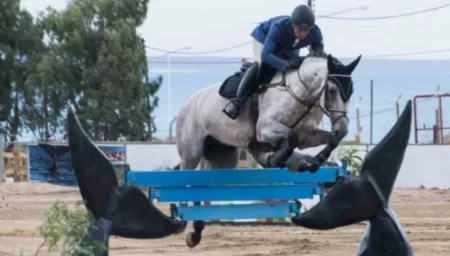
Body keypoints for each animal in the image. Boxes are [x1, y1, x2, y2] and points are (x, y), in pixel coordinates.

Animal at [175, 52, 362, 246]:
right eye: (331, 91)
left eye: (351, 91)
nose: (342, 129)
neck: (300, 93)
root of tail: (189, 102)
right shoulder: (265, 129)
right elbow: (291, 138)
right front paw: (281, 159)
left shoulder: (306, 135)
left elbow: (329, 140)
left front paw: (313, 162)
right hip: (191, 153)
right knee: (187, 176)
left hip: (222, 158)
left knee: (202, 182)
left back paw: (197, 230)